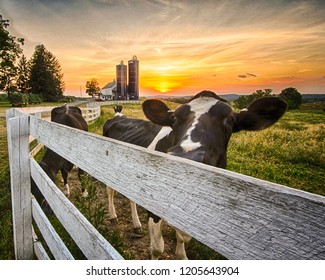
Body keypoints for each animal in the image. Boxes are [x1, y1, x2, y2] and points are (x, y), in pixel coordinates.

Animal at [102, 92, 284, 260]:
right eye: (174, 118)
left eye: (230, 120)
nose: (187, 157)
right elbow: (157, 248)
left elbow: (182, 238)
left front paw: (181, 254)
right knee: (110, 191)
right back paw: (113, 215)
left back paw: (136, 224)